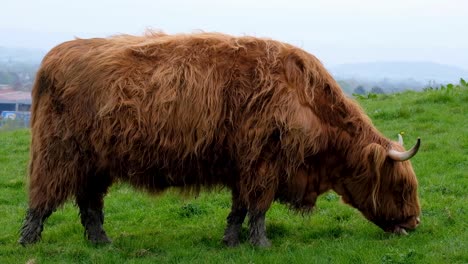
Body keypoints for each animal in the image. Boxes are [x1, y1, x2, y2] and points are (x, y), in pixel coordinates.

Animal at [19, 32, 420, 246]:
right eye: (401, 187)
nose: (415, 223)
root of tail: (53, 57)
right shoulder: (264, 163)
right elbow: (258, 207)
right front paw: (261, 243)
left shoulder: (245, 166)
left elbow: (239, 207)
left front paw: (230, 241)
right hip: (57, 153)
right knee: (42, 198)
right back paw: (28, 240)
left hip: (95, 163)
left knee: (89, 204)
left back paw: (101, 242)